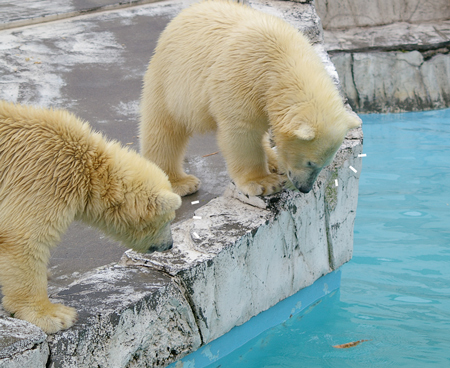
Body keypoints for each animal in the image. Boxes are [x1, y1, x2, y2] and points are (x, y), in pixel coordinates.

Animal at [0, 100, 181, 334]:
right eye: (168, 219)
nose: (169, 245)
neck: (85, 164)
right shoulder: (44, 178)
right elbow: (24, 239)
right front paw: (54, 315)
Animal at [139, 0, 360, 197]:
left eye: (325, 163)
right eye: (310, 162)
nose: (304, 188)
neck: (284, 62)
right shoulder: (244, 76)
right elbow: (242, 131)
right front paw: (263, 183)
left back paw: (272, 159)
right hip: (172, 79)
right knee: (164, 129)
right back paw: (180, 182)